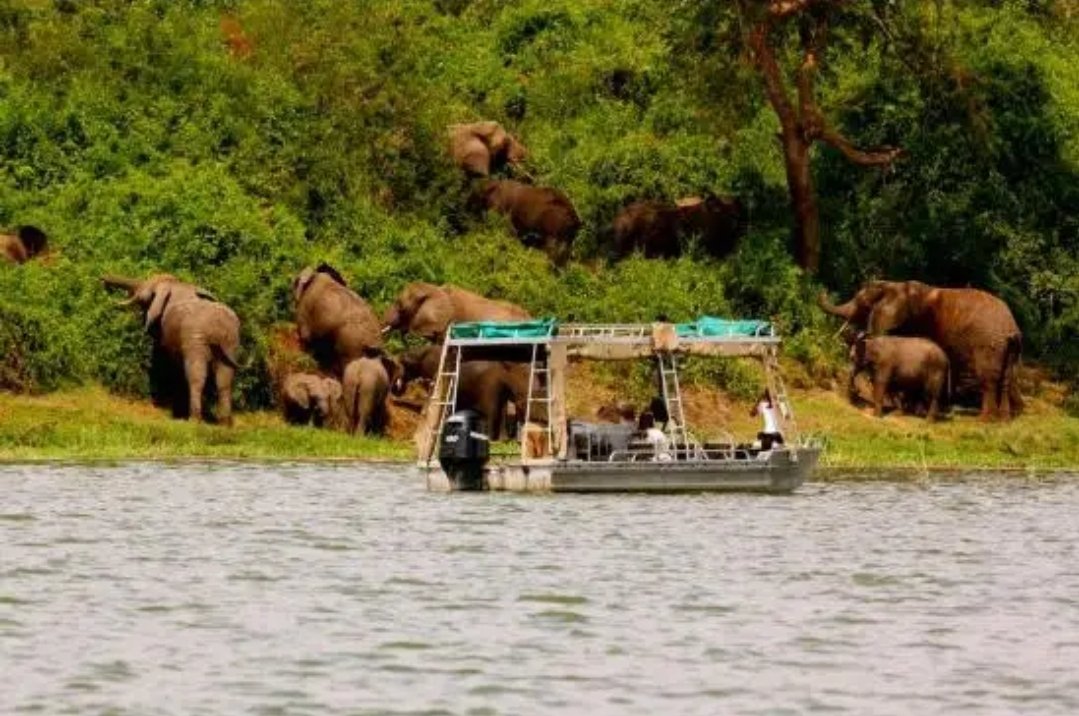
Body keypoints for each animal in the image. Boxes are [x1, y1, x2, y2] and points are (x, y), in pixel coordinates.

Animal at [103, 271, 240, 422]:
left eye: (144, 297)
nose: (103, 279)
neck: (176, 285)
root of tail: (219, 326)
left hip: (196, 339)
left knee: (197, 376)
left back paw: (193, 420)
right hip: (231, 342)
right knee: (224, 380)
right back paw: (224, 423)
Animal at [820, 280, 1022, 420]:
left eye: (862, 304)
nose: (824, 291)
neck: (895, 285)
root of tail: (1011, 327)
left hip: (989, 345)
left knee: (988, 379)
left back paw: (984, 419)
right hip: (1008, 348)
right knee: (1006, 378)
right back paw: (1004, 419)